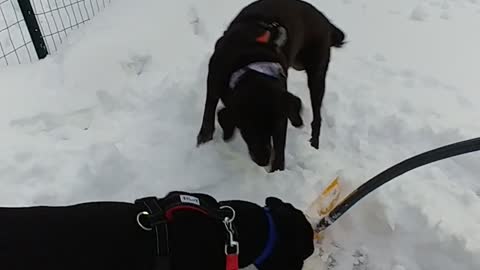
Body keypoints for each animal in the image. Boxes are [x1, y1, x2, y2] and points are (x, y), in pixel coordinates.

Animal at [195, 0, 344, 172]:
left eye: (274, 130)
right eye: (247, 130)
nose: (263, 160)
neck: (250, 61)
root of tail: (325, 20)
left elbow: (280, 147)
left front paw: (278, 170)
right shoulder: (213, 80)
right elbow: (208, 112)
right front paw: (203, 141)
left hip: (317, 73)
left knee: (317, 116)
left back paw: (314, 144)